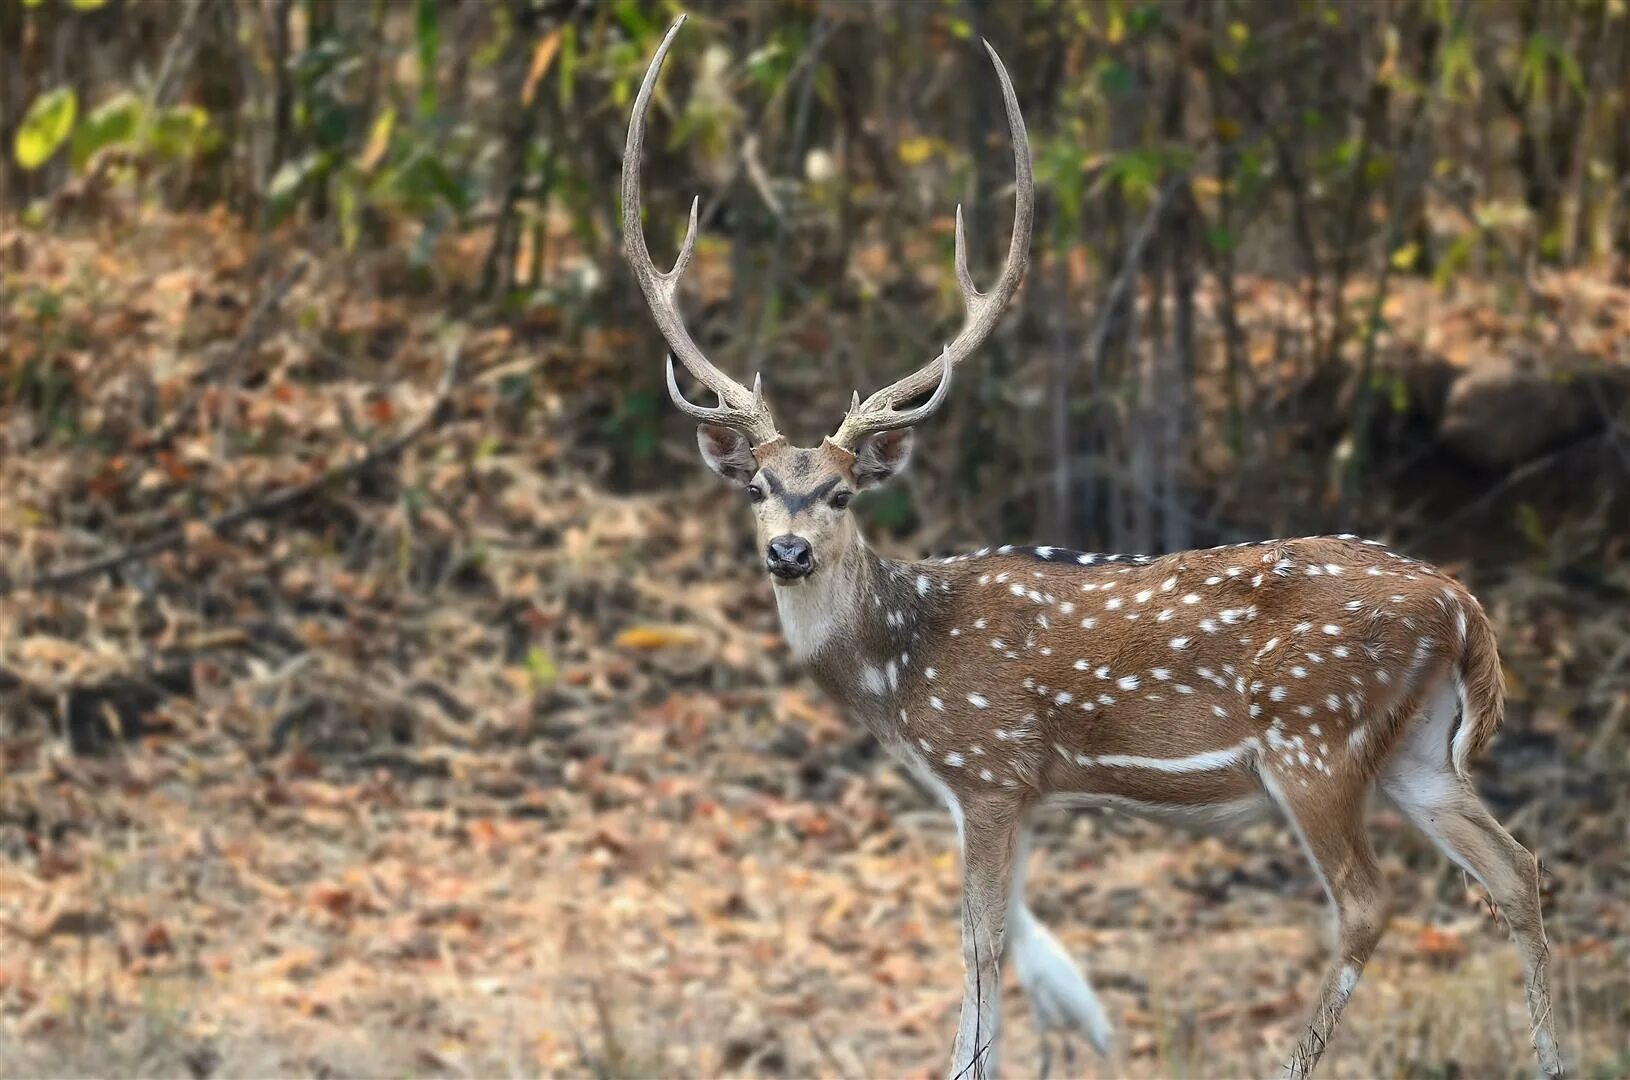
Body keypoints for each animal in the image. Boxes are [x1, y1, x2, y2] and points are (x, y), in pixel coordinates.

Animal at [616, 16, 1558, 1080]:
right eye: (759, 489)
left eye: (843, 493)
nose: (788, 554)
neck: (900, 670)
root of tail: (1462, 606)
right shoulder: (1013, 791)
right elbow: (992, 942)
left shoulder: (988, 765)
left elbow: (981, 941)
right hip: (1418, 749)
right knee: (1516, 869)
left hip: (1314, 735)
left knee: (1365, 903)